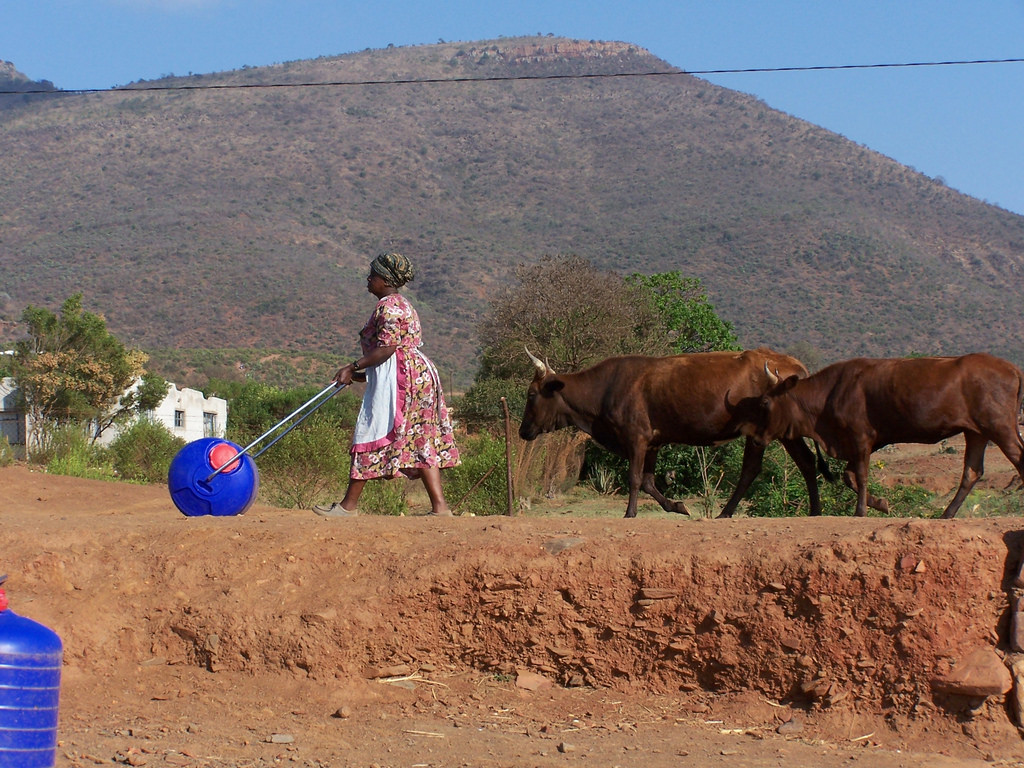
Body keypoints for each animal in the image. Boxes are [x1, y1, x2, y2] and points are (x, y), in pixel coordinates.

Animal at [520, 352, 823, 520]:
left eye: (531, 394)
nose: (523, 431)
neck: (606, 388)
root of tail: (795, 365)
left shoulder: (637, 437)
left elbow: (634, 478)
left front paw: (630, 512)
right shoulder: (653, 442)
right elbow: (647, 482)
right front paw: (678, 506)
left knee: (752, 468)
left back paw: (726, 511)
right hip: (784, 432)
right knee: (806, 463)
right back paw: (815, 510)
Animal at [745, 354, 1024, 520]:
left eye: (765, 401)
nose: (756, 438)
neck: (830, 393)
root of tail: (1012, 368)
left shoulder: (860, 437)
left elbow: (860, 475)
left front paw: (860, 511)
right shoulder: (862, 442)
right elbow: (849, 476)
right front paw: (880, 503)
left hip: (1000, 427)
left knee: (1018, 459)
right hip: (976, 432)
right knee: (972, 472)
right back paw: (946, 515)